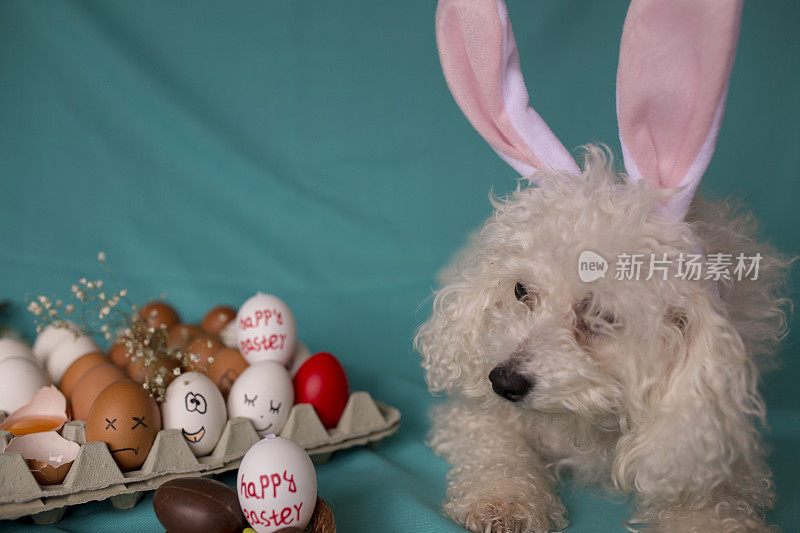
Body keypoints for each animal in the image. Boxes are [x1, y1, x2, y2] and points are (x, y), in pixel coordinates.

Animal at [416, 1, 792, 532]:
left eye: (599, 318)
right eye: (520, 291)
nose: (502, 381)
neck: (589, 422)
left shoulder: (712, 447)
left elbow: (709, 499)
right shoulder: (479, 415)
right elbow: (496, 446)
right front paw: (504, 499)